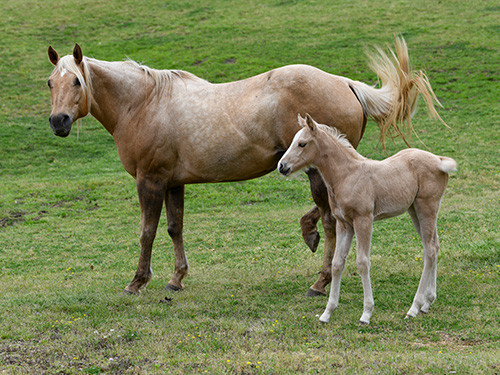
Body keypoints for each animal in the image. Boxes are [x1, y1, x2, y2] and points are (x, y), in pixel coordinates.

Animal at [278, 114, 458, 326]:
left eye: (302, 143)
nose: (282, 166)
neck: (347, 176)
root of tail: (439, 160)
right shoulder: (344, 224)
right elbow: (337, 264)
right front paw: (327, 313)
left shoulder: (363, 220)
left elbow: (363, 262)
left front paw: (366, 313)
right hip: (415, 211)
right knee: (434, 246)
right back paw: (427, 303)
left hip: (427, 207)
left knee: (429, 251)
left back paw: (414, 308)